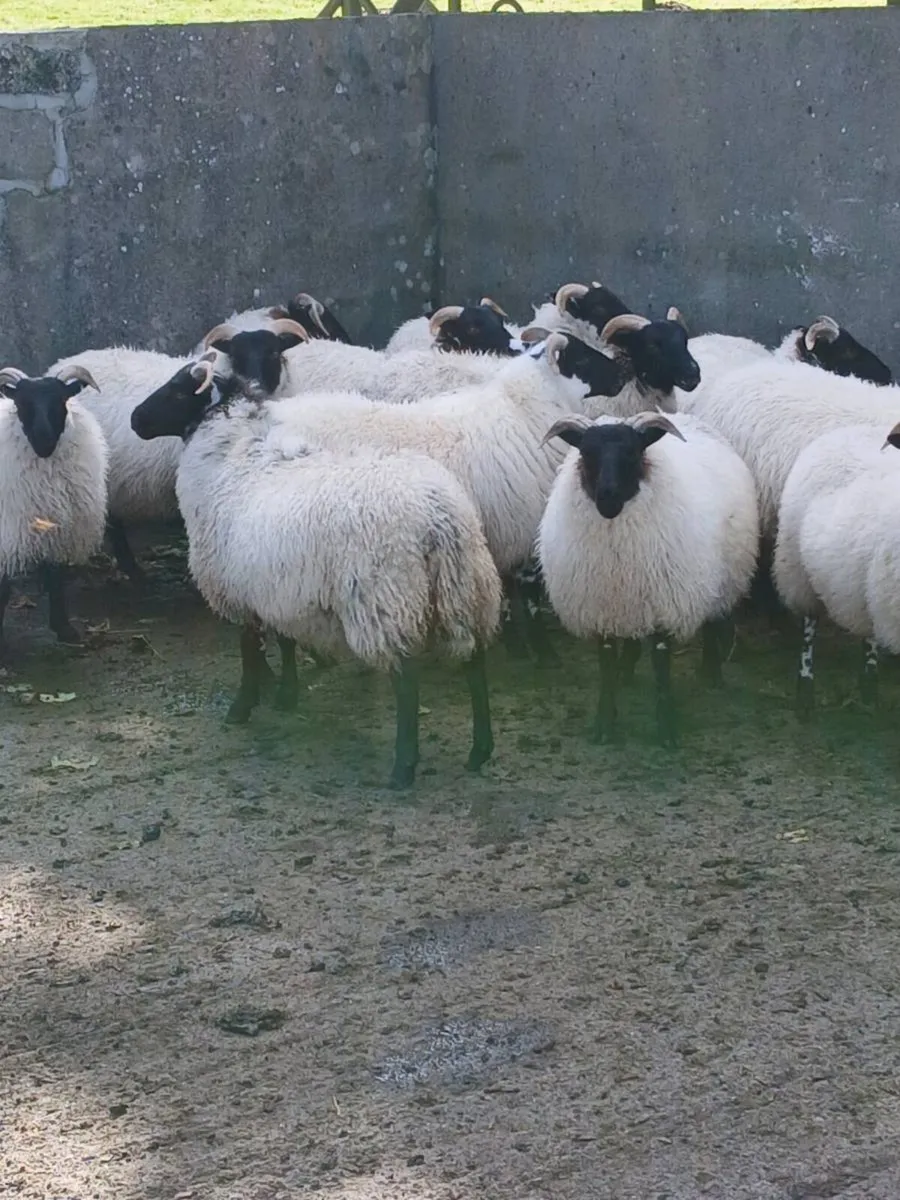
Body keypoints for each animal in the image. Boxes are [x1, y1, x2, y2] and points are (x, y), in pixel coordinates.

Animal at [0, 364, 108, 652]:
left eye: (60, 400)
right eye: (21, 403)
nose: (43, 439)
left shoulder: (57, 525)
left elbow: (55, 575)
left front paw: (65, 630)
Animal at [130, 357, 502, 789]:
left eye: (176, 391)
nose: (136, 419)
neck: (231, 457)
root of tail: (439, 515)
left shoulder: (240, 588)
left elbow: (249, 650)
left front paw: (241, 707)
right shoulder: (279, 588)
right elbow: (285, 640)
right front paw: (286, 696)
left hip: (385, 599)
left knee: (407, 681)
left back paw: (403, 767)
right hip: (465, 587)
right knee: (474, 662)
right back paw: (480, 750)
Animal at [537, 411, 758, 744]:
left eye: (633, 452)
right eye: (586, 453)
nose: (607, 498)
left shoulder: (663, 605)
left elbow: (661, 666)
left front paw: (666, 729)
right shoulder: (603, 608)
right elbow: (605, 665)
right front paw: (605, 722)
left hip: (721, 579)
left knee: (711, 620)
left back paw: (711, 672)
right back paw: (626, 670)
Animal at [773, 421, 900, 715]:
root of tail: (843, 431)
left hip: (862, 584)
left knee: (868, 631)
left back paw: (869, 683)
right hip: (798, 570)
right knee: (809, 627)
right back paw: (805, 691)